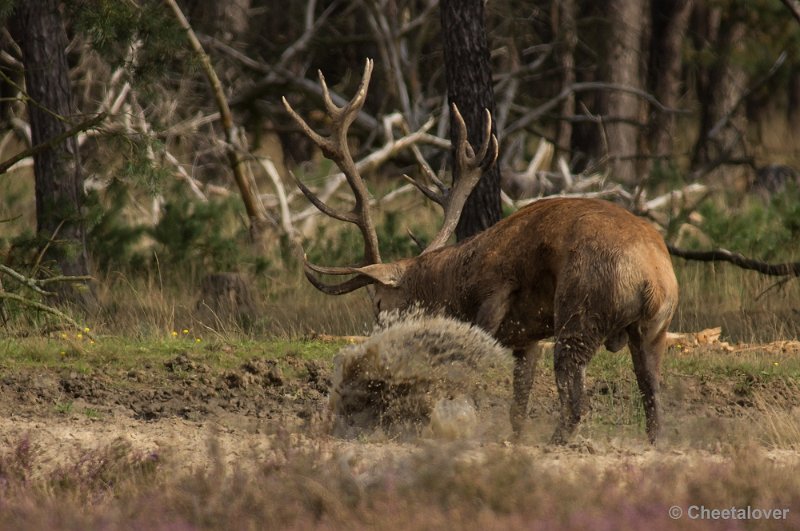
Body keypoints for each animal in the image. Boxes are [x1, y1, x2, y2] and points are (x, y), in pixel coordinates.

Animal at [284, 59, 680, 444]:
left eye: (378, 302)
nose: (377, 342)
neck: (457, 282)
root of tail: (652, 280)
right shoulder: (526, 335)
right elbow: (519, 401)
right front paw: (513, 436)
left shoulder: (493, 297)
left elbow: (470, 373)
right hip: (655, 330)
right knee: (653, 395)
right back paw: (653, 440)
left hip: (580, 309)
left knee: (576, 395)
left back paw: (556, 440)